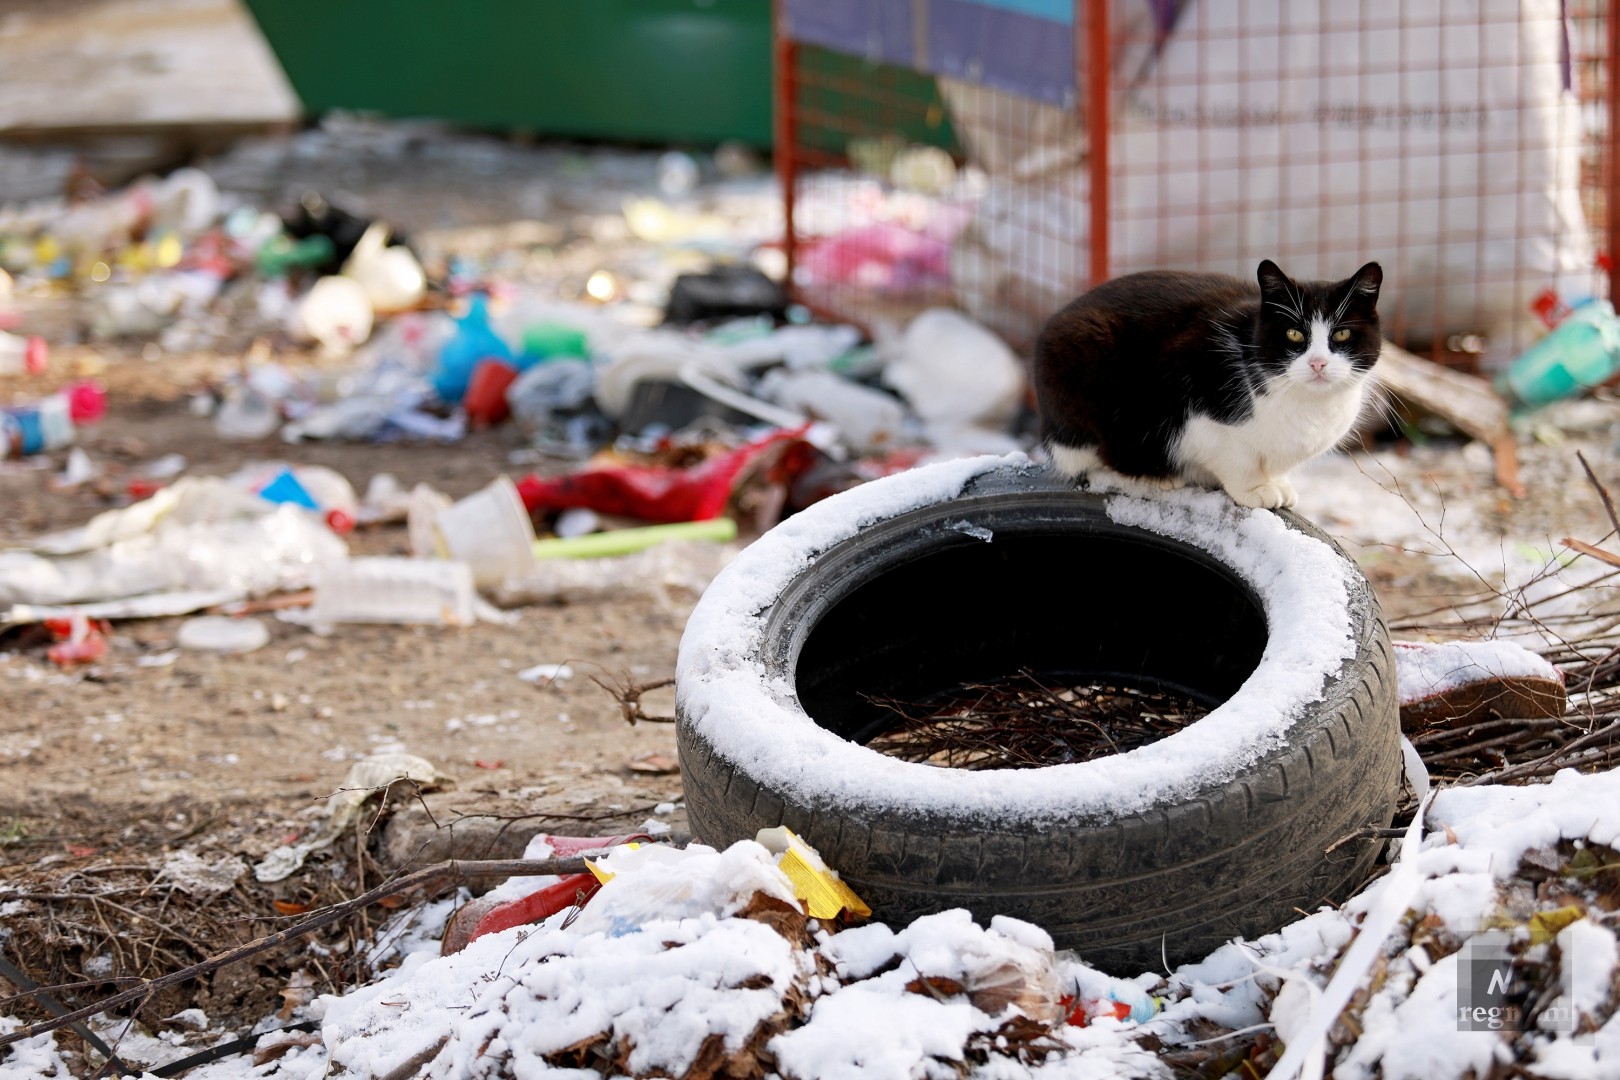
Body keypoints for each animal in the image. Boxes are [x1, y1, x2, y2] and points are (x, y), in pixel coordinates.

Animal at [1030, 259, 1386, 508]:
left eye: (1342, 333)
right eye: (1294, 334)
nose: (1318, 363)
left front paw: (1279, 484)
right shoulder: (1190, 393)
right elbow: (1235, 457)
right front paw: (1254, 489)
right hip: (1088, 366)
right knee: (1095, 462)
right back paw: (1156, 479)